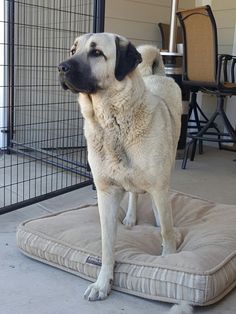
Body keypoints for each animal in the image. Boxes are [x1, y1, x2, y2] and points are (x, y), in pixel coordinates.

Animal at [58, 33, 183, 300]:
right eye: (73, 50)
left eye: (96, 53)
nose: (61, 67)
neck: (111, 122)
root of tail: (156, 76)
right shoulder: (106, 193)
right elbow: (107, 244)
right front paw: (103, 282)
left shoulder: (159, 186)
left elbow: (167, 232)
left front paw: (168, 259)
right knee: (135, 194)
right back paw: (131, 217)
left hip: (165, 171)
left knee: (160, 206)